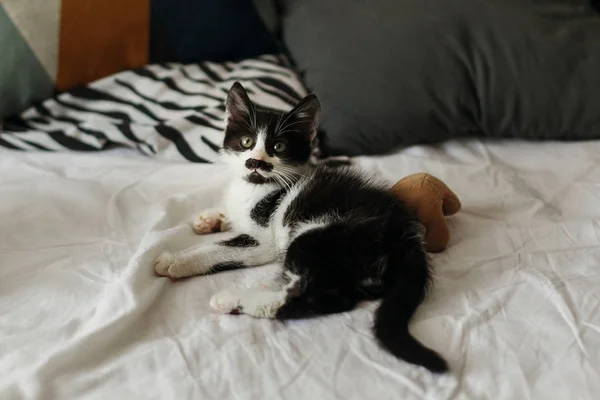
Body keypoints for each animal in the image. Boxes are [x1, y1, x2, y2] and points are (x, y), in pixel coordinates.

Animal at [152, 83, 448, 374]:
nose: (256, 162)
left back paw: (237, 300)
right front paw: (211, 219)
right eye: (247, 142)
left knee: (318, 297)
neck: (257, 187)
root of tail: (407, 238)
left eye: (278, 146)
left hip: (319, 237)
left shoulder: (264, 240)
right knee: (337, 296)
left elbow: (221, 247)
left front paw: (175, 260)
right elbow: (234, 217)